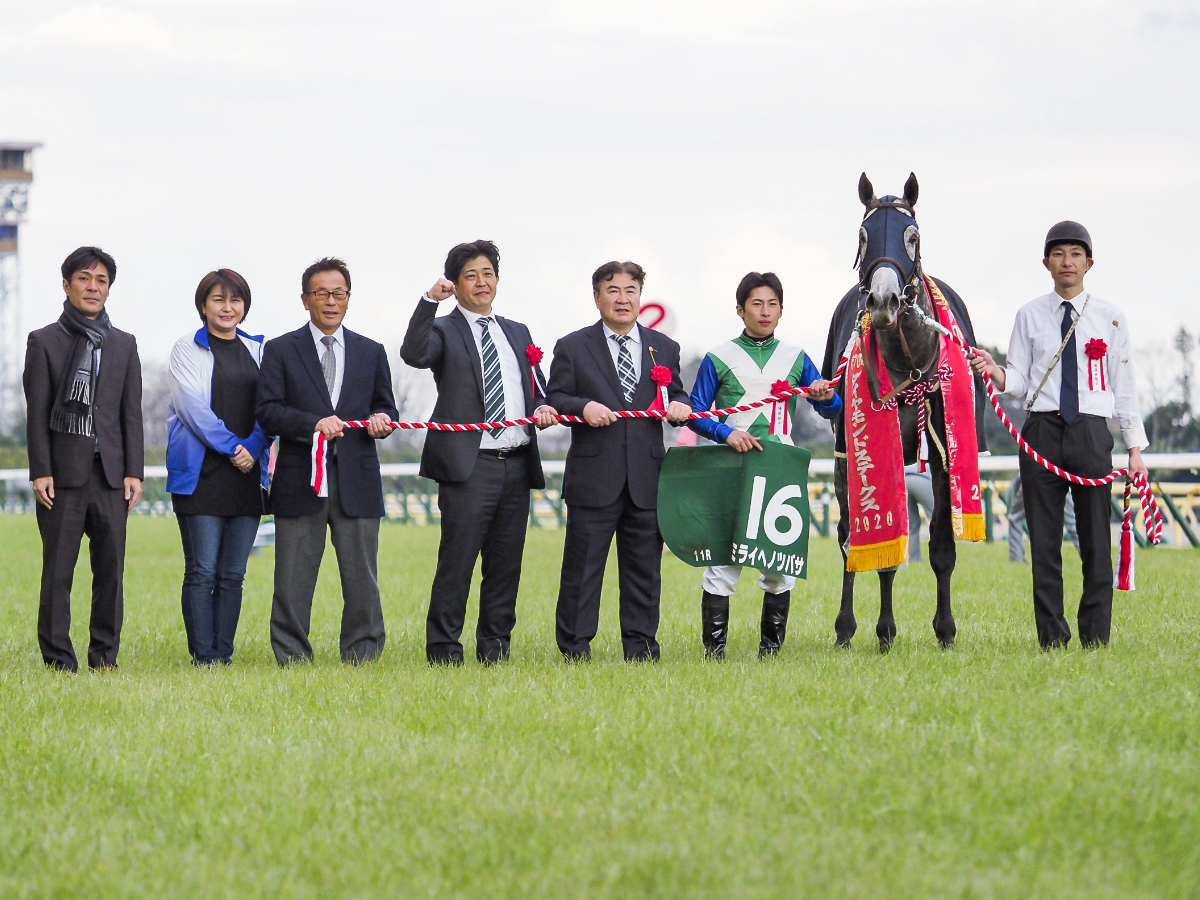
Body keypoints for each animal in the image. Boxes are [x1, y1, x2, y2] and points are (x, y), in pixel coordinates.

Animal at [820, 174, 988, 657]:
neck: (911, 355)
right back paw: (846, 627)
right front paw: (883, 630)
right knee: (847, 537)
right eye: (863, 235)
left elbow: (942, 545)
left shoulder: (944, 451)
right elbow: (879, 551)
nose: (883, 299)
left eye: (911, 236)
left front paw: (945, 628)